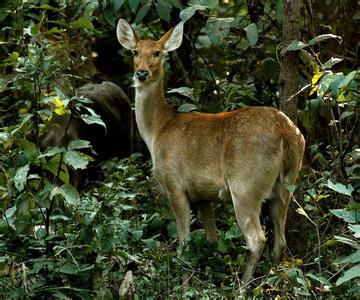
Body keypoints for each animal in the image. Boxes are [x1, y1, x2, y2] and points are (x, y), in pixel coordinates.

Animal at [116, 18, 306, 286]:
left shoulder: (175, 185)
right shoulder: (203, 196)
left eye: (157, 52)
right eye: (135, 51)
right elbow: (212, 239)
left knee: (257, 239)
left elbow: (184, 242)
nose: (141, 73)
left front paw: (185, 283)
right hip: (287, 183)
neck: (159, 130)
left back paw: (243, 286)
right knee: (280, 240)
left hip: (246, 184)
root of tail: (286, 132)